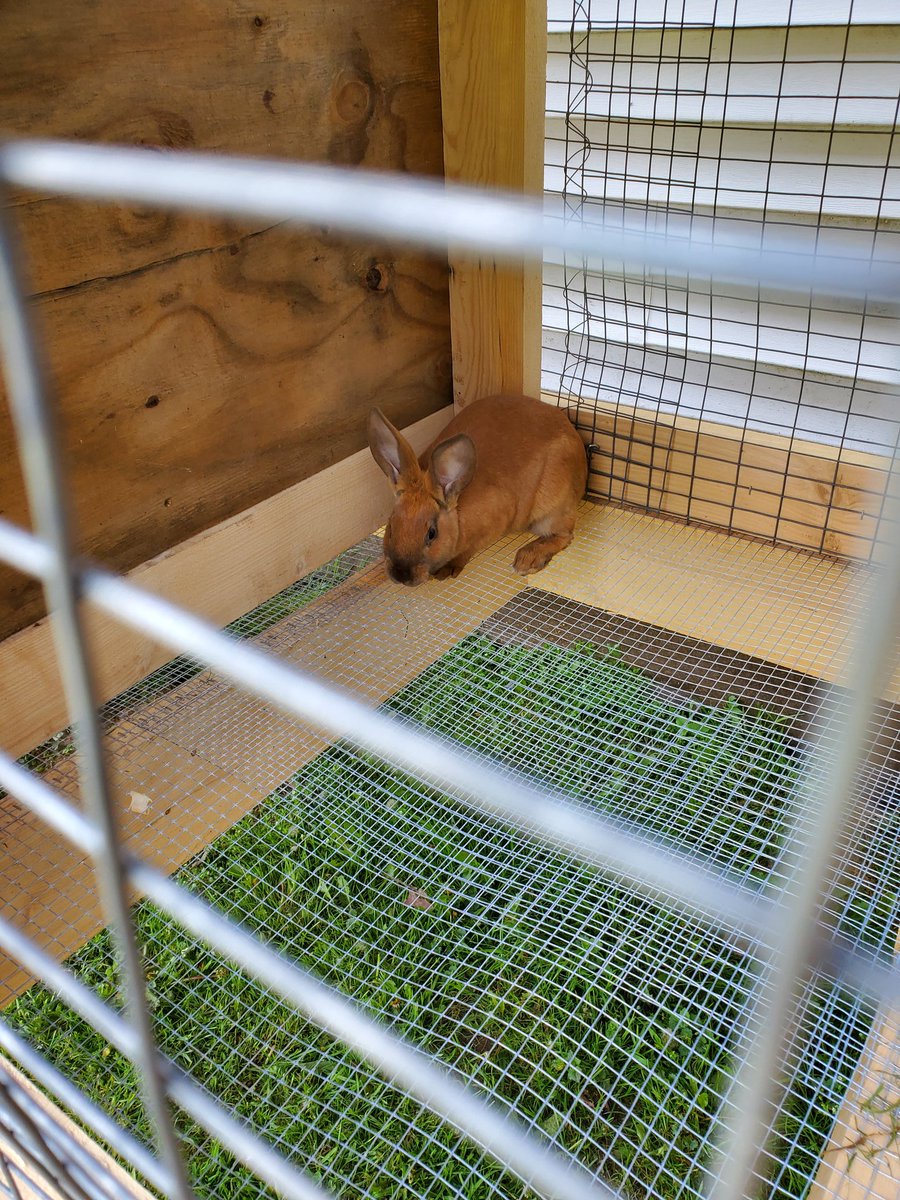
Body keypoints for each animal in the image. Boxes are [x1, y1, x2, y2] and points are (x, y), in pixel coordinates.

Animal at [368, 394, 587, 587]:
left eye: (431, 533)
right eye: (391, 525)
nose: (401, 575)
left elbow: (469, 550)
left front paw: (447, 570)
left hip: (553, 509)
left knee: (564, 535)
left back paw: (526, 560)